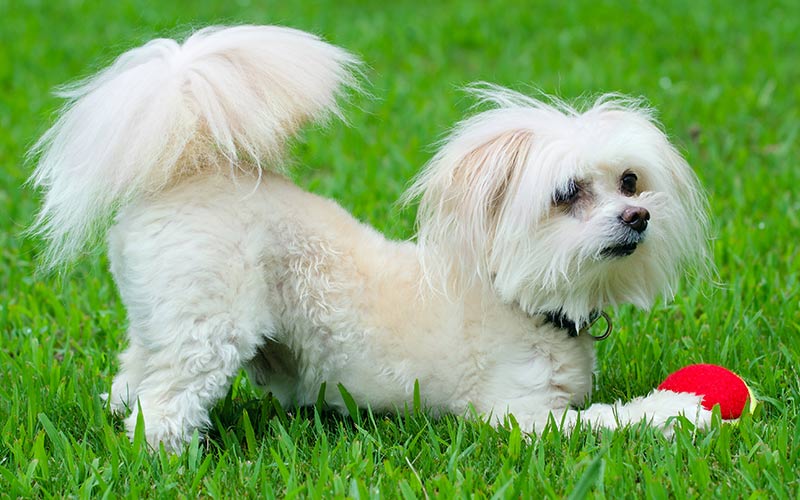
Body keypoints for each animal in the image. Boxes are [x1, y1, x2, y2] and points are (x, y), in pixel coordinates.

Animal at [29, 25, 712, 452]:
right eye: (568, 193)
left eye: (630, 181)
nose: (637, 217)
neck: (515, 297)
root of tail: (190, 171)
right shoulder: (521, 417)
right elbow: (609, 420)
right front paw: (680, 411)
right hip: (209, 325)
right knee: (164, 407)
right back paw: (163, 461)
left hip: (162, 317)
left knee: (133, 375)